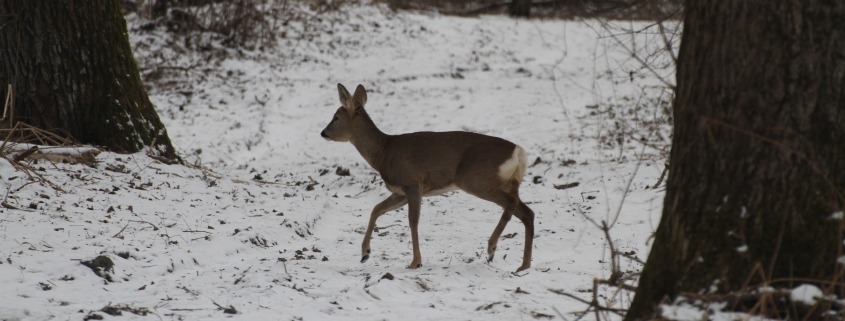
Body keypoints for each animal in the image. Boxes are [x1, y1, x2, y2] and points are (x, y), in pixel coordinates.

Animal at [324, 84, 536, 272]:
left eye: (335, 117)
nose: (323, 132)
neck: (383, 152)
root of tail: (518, 153)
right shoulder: (400, 192)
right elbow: (377, 209)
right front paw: (365, 254)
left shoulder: (411, 183)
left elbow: (412, 221)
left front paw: (415, 262)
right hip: (504, 183)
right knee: (527, 212)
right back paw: (523, 265)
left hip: (476, 180)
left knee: (512, 205)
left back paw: (492, 249)